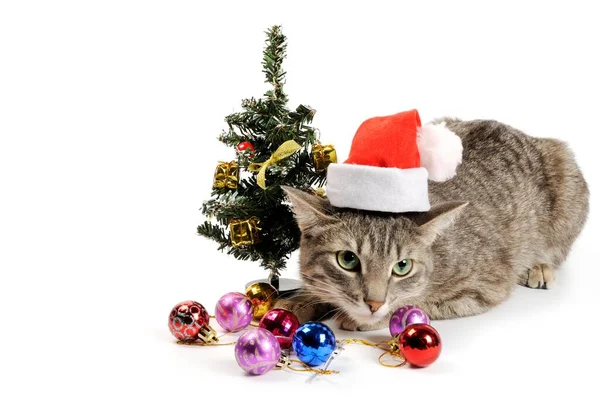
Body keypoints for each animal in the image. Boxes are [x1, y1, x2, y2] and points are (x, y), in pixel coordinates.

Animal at [278, 116, 588, 332]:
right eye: (347, 260)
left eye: (402, 266)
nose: (374, 304)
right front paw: (297, 302)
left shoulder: (484, 287)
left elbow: (414, 301)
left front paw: (367, 316)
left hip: (567, 173)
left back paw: (540, 267)